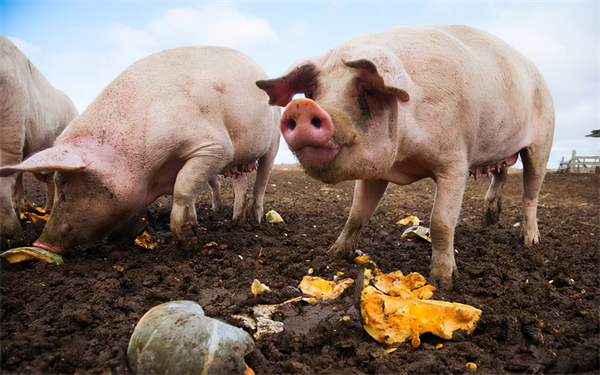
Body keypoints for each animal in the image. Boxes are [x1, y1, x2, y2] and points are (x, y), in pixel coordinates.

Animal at [256, 25, 552, 290]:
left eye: (368, 89)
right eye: (312, 92)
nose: (301, 106)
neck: (405, 160)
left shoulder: (455, 161)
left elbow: (441, 222)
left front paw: (443, 282)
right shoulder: (375, 171)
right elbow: (357, 213)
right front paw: (333, 254)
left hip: (542, 143)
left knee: (530, 194)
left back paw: (530, 242)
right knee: (500, 175)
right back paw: (489, 223)